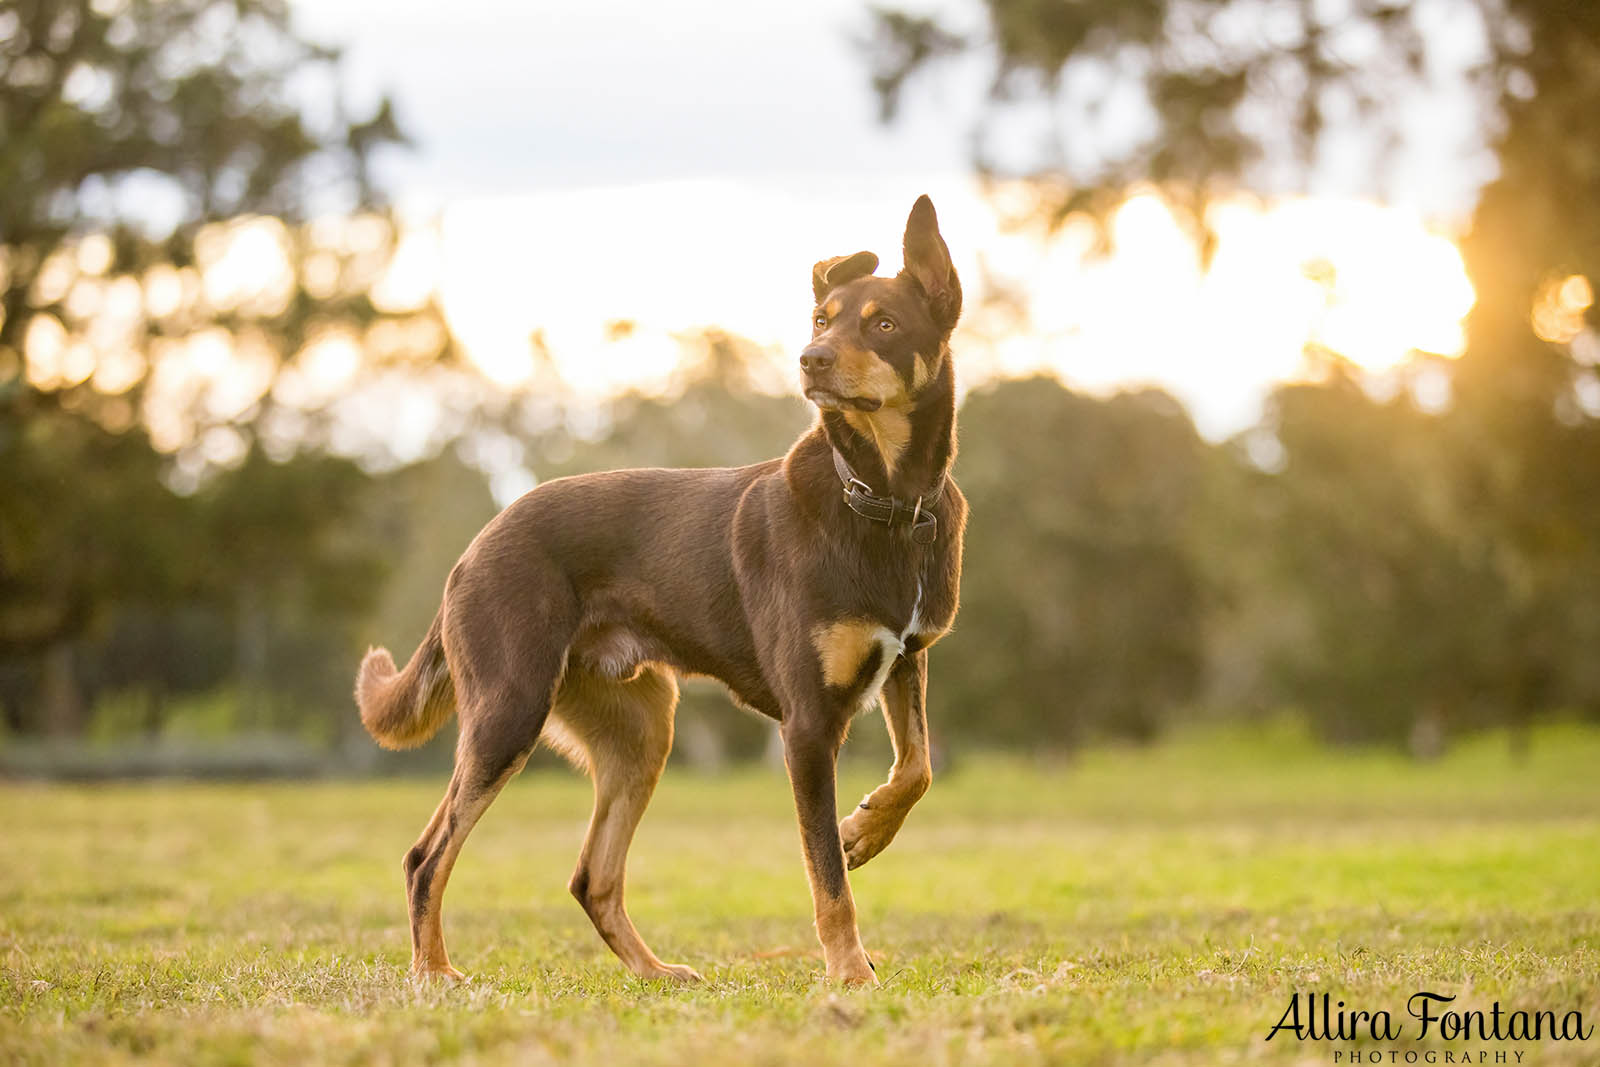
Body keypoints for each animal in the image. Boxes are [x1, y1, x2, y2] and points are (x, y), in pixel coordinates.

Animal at [356, 194, 966, 985]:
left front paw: (866, 829)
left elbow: (917, 768)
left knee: (592, 876)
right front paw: (851, 974)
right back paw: (433, 973)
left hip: (641, 731)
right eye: (821, 319)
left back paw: (656, 975)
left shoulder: (906, 659)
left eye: (884, 323)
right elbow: (827, 876)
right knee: (425, 856)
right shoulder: (806, 726)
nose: (811, 360)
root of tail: (476, 546)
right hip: (508, 712)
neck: (880, 498)